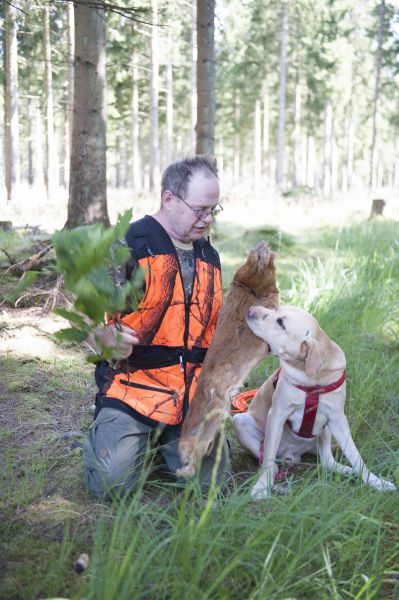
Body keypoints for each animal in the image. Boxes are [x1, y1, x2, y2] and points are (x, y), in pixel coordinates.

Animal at [233, 302, 398, 500]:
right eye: (275, 309)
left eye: (281, 323)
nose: (250, 309)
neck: (312, 382)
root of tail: (292, 454)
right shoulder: (277, 415)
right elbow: (269, 457)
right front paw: (261, 486)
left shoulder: (337, 418)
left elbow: (355, 455)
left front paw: (376, 482)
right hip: (240, 422)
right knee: (271, 461)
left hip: (325, 430)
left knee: (327, 460)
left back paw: (346, 470)